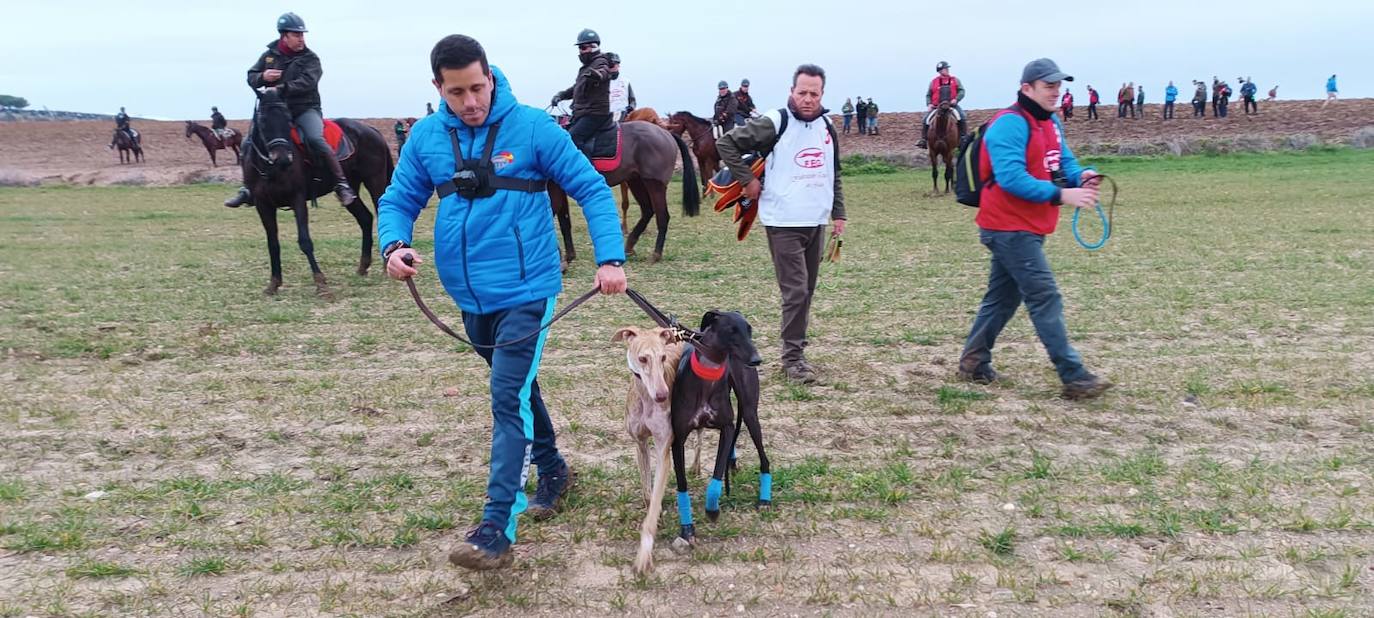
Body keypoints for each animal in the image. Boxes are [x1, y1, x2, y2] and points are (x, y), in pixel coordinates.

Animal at [239, 87, 392, 298]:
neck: (271, 169)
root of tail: (372, 130)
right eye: (262, 120)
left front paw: (321, 284)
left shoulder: (297, 199)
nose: (283, 159)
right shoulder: (263, 205)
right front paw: (274, 284)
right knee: (365, 218)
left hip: (375, 182)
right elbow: (272, 243)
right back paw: (362, 267)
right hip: (351, 190)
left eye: (288, 119)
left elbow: (305, 241)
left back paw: (386, 266)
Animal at [546, 119, 697, 266]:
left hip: (654, 184)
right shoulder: (558, 189)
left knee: (662, 216)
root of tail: (666, 133)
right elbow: (564, 221)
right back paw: (629, 247)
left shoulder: (554, 189)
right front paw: (568, 256)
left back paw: (655, 254)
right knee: (647, 210)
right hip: (636, 181)